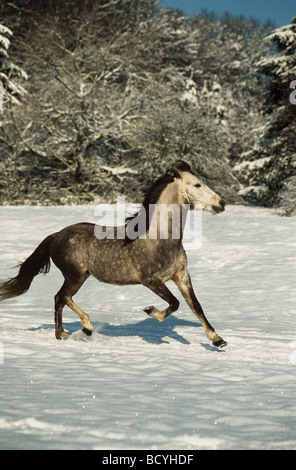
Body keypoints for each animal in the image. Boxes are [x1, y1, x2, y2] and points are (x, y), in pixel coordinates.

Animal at [0, 160, 227, 346]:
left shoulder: (181, 275)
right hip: (75, 276)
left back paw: (63, 334)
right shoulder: (151, 280)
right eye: (197, 185)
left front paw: (218, 340)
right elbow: (174, 303)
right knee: (61, 297)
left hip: (81, 277)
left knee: (60, 299)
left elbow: (196, 305)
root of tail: (56, 235)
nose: (221, 203)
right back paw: (86, 327)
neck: (161, 239)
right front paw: (150, 311)